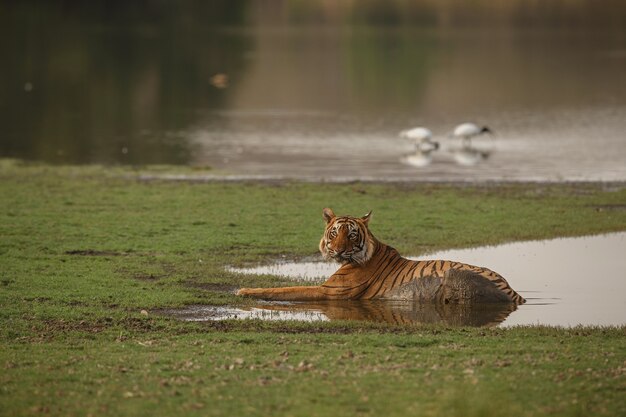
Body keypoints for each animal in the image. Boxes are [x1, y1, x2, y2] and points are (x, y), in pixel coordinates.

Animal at [236, 207, 524, 302]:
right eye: (334, 233)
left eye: (351, 235)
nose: (338, 250)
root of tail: (512, 291)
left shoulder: (328, 292)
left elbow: (283, 289)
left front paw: (243, 291)